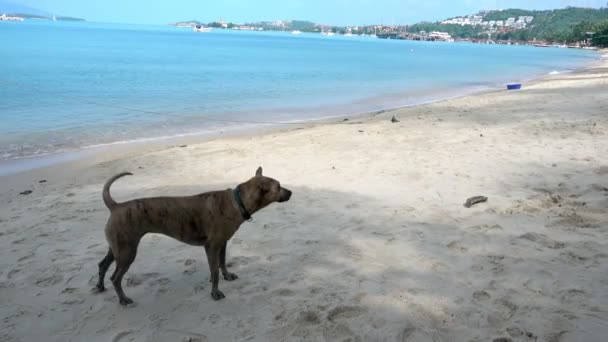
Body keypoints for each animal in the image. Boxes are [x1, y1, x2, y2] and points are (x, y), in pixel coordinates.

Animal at [95, 167, 292, 306]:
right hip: (127, 252)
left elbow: (221, 264)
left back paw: (100, 286)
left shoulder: (222, 244)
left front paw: (226, 276)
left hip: (118, 249)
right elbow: (214, 270)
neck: (238, 201)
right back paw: (123, 299)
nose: (291, 192)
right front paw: (215, 292)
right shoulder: (212, 246)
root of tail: (116, 206)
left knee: (102, 265)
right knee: (115, 278)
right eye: (278, 186)